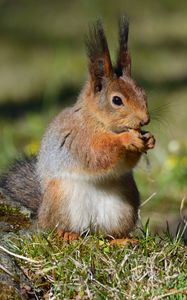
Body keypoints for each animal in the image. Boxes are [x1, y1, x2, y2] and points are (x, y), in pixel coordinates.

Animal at [0, 17, 155, 241]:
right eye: (117, 100)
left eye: (143, 93)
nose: (145, 119)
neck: (97, 121)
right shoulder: (78, 137)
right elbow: (97, 154)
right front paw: (127, 140)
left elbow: (125, 163)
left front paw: (149, 139)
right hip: (61, 200)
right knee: (56, 226)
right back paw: (66, 234)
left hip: (124, 205)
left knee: (108, 234)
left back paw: (122, 239)